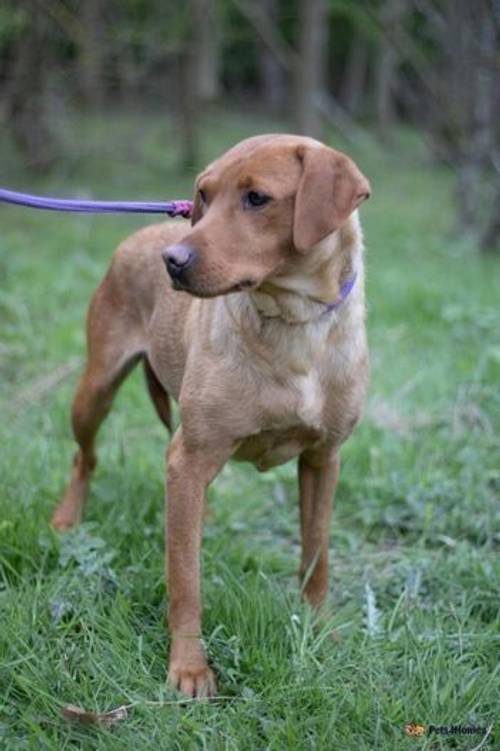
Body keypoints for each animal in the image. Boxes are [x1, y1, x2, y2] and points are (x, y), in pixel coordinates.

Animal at [50, 134, 372, 700]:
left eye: (257, 198)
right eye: (204, 193)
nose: (172, 261)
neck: (294, 326)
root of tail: (147, 233)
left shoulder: (323, 458)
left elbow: (316, 557)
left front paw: (319, 631)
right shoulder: (189, 456)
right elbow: (186, 581)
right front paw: (188, 668)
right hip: (95, 392)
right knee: (84, 458)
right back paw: (68, 520)